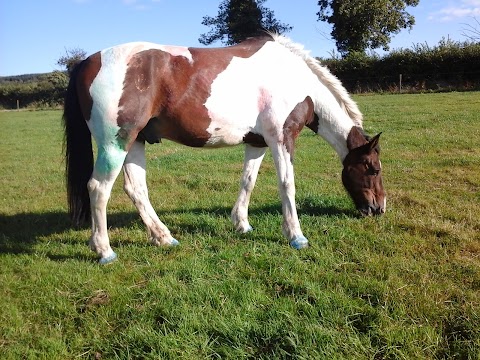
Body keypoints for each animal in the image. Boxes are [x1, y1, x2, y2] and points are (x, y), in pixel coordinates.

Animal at [62, 34, 386, 264]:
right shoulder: (282, 138)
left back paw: (163, 237)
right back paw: (105, 251)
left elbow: (248, 180)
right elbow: (287, 185)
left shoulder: (257, 143)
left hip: (134, 142)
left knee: (136, 189)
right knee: (98, 188)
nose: (378, 209)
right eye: (372, 169)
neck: (293, 78)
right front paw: (296, 236)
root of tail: (88, 61)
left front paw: (241, 224)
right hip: (116, 142)